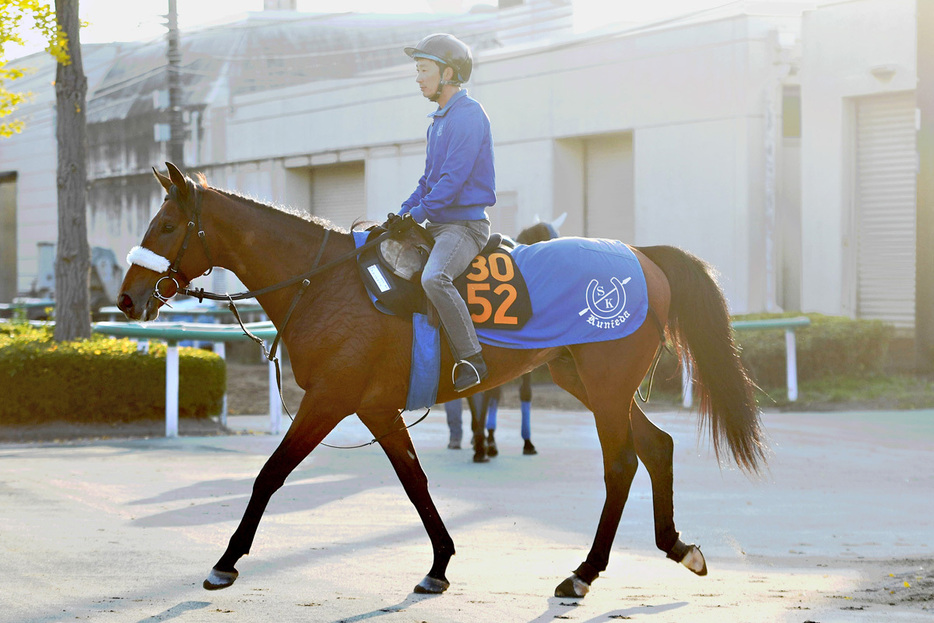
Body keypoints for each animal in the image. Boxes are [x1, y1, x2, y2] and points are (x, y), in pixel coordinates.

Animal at [117, 165, 764, 600]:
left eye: (167, 224)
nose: (126, 299)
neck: (321, 282)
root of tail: (642, 255)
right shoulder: (375, 408)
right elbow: (415, 482)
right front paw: (440, 563)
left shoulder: (330, 400)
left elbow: (270, 474)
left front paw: (227, 560)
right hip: (585, 380)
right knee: (657, 446)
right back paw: (676, 546)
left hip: (604, 388)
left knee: (623, 462)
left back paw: (584, 573)